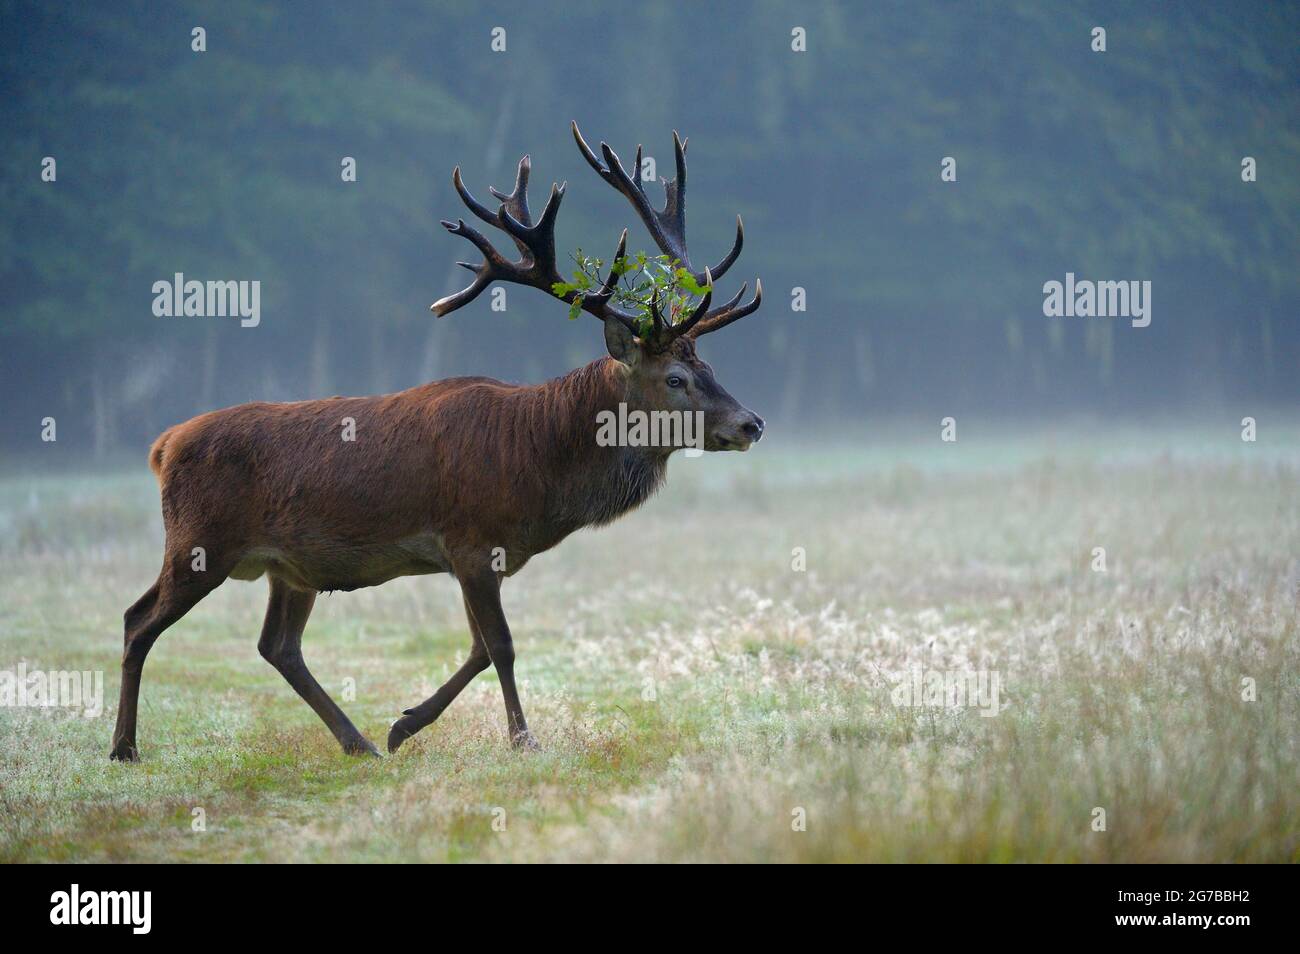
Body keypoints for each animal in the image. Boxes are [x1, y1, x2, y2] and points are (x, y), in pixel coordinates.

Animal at [110, 122, 764, 762]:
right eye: (675, 379)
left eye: (709, 367)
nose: (751, 423)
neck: (539, 469)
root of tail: (163, 446)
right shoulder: (471, 538)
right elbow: (500, 645)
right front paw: (522, 740)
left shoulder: (475, 555)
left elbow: (477, 648)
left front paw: (405, 726)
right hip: (199, 540)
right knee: (138, 619)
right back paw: (124, 746)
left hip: (286, 566)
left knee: (277, 646)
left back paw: (359, 743)